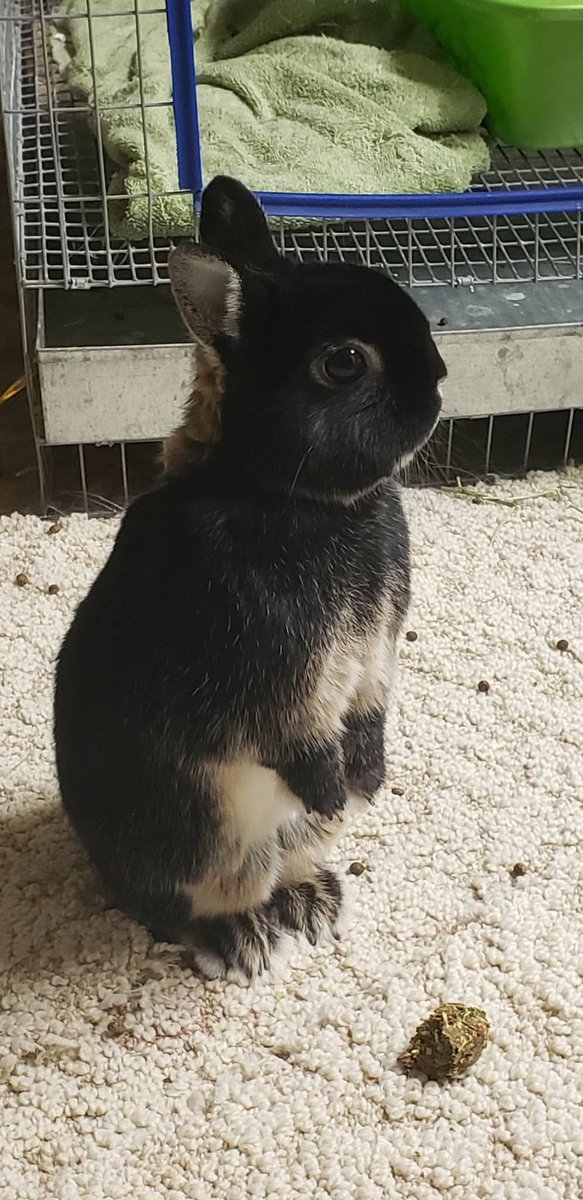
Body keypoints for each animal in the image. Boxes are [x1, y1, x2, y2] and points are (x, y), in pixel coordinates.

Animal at [54, 176, 445, 982]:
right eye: (343, 363)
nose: (439, 387)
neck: (288, 497)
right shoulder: (270, 668)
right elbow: (295, 729)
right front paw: (333, 784)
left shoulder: (373, 651)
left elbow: (368, 703)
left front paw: (367, 775)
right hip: (203, 833)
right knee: (180, 903)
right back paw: (244, 939)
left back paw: (311, 899)